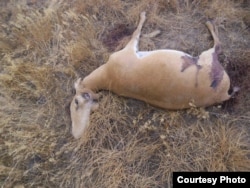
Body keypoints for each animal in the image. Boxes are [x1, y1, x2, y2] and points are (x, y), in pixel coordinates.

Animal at [70, 11, 238, 138]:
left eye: (76, 102)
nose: (76, 134)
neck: (107, 76)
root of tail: (223, 94)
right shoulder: (129, 49)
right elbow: (136, 32)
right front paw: (144, 16)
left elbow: (138, 33)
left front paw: (153, 30)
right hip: (207, 58)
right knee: (218, 46)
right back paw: (209, 23)